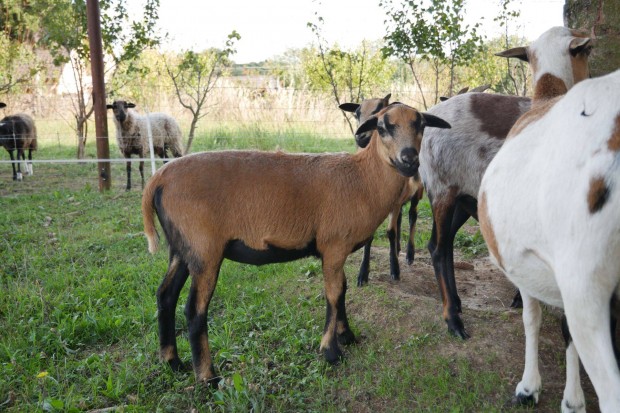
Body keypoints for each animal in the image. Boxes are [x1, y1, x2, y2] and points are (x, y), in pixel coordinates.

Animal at [336, 94, 424, 286]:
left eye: (378, 110)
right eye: (356, 113)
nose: (360, 136)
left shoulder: (398, 200)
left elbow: (390, 232)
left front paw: (395, 270)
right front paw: (363, 274)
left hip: (418, 191)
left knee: (412, 216)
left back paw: (409, 254)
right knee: (400, 219)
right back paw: (397, 249)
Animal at [418, 25, 588, 338]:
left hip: (462, 197)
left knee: (445, 244)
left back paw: (457, 303)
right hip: (442, 188)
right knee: (437, 247)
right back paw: (453, 320)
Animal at [480, 29, 620, 412]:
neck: (549, 93)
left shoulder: (529, 267)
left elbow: (534, 319)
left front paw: (535, 389)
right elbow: (552, 326)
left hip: (583, 278)